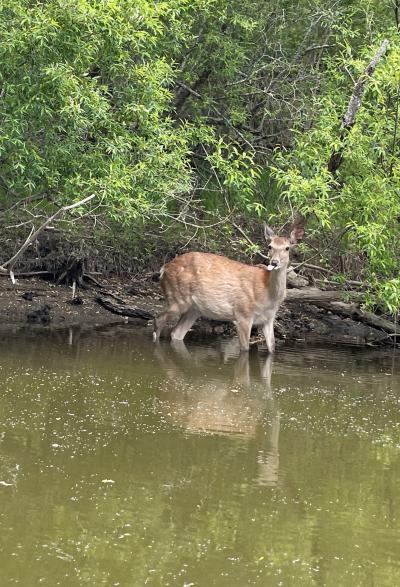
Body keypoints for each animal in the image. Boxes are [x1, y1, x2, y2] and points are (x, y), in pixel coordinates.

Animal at [153, 225, 304, 354]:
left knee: (176, 333)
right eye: (270, 246)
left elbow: (272, 349)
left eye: (287, 248)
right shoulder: (242, 314)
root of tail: (163, 269)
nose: (274, 262)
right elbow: (245, 349)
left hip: (193, 309)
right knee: (158, 320)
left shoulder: (269, 319)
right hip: (178, 298)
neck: (268, 295)